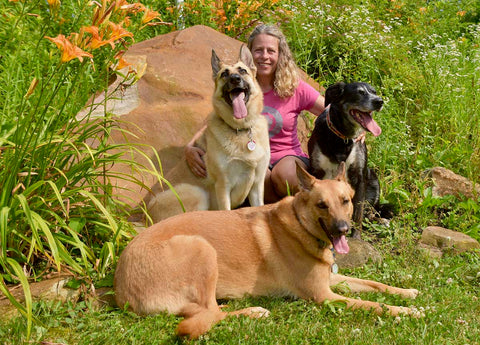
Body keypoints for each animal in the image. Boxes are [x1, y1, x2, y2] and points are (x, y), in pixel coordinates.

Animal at [113, 163, 420, 338]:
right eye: (322, 205)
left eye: (345, 201)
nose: (343, 230)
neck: (301, 225)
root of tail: (121, 289)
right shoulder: (324, 296)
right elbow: (373, 304)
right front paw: (407, 311)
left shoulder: (332, 278)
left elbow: (375, 285)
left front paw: (406, 292)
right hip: (202, 247)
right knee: (212, 314)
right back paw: (254, 311)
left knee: (207, 312)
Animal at [145, 45, 270, 223]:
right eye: (224, 74)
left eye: (242, 70)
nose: (235, 79)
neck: (241, 130)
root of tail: (145, 216)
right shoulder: (223, 186)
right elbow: (226, 211)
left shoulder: (257, 185)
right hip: (198, 193)